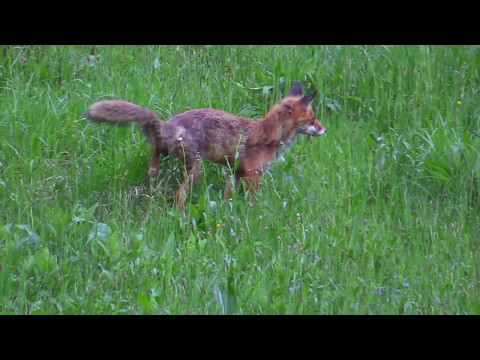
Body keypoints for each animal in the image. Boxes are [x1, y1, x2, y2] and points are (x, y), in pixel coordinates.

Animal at [86, 81, 326, 211]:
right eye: (313, 119)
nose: (325, 130)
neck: (270, 134)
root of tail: (170, 124)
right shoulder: (253, 175)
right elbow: (253, 202)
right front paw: (255, 216)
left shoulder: (235, 173)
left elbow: (229, 197)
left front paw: (229, 212)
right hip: (197, 168)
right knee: (180, 194)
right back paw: (181, 216)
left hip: (167, 156)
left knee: (154, 159)